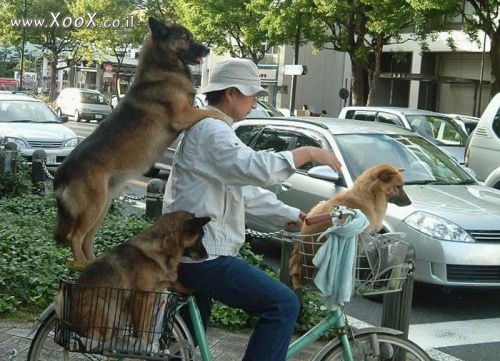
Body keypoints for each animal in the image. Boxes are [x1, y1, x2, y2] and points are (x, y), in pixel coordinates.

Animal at [52, 16, 221, 260]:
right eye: (186, 37)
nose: (207, 49)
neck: (163, 67)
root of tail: (61, 173)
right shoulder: (183, 115)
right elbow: (213, 113)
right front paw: (225, 118)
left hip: (102, 205)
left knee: (86, 239)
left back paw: (92, 262)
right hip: (94, 206)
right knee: (74, 237)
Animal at [53, 211, 210, 344]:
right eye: (200, 238)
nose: (207, 256)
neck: (162, 249)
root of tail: (68, 323)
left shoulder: (151, 298)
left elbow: (146, 325)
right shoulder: (141, 297)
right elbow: (141, 326)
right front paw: (143, 343)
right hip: (102, 304)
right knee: (96, 336)